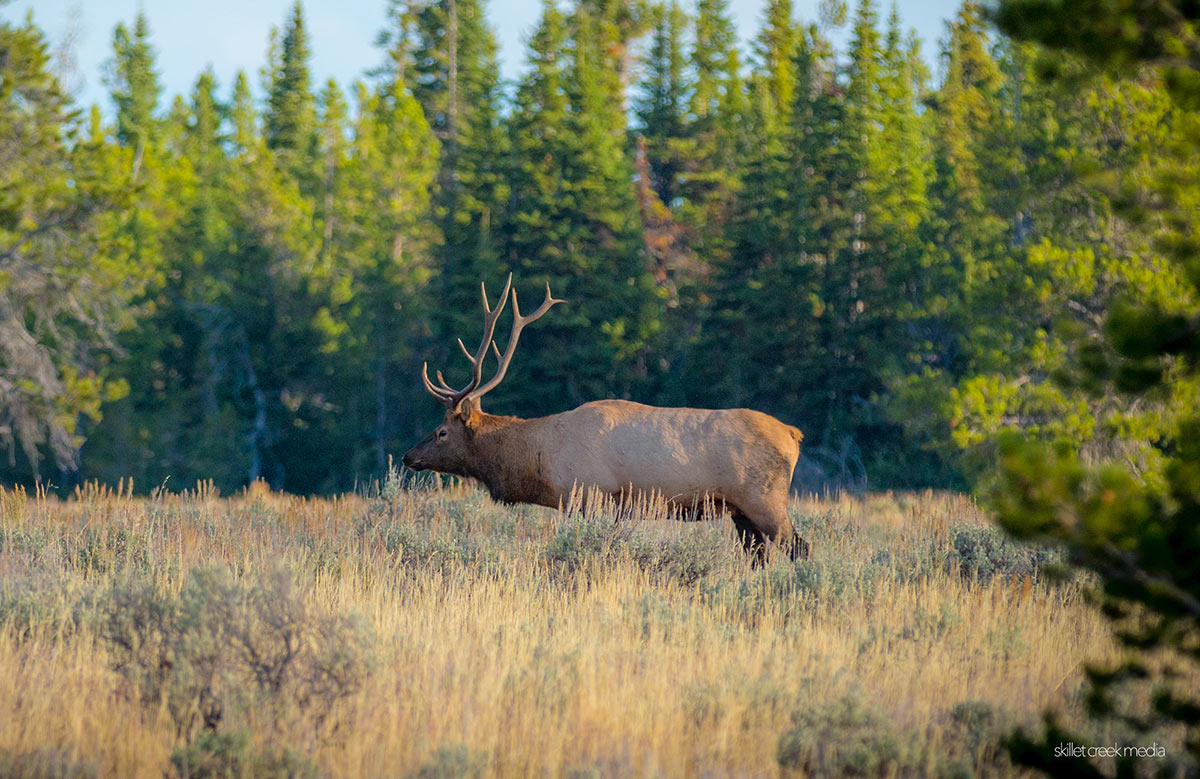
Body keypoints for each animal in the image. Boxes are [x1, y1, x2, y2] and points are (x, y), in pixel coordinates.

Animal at [398, 273, 811, 559]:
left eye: (441, 431)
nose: (407, 456)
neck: (538, 458)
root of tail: (794, 434)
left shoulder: (587, 495)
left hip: (765, 499)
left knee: (799, 547)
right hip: (741, 512)